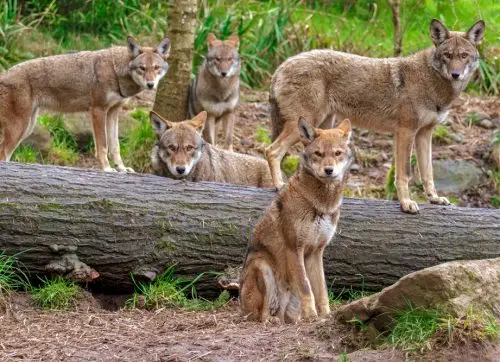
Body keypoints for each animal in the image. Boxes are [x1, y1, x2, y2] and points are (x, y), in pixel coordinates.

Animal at [0, 36, 170, 171]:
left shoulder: (113, 112)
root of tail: (4, 74)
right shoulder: (98, 110)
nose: (150, 84)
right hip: (19, 128)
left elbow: (115, 146)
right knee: (3, 154)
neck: (115, 70)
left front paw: (121, 169)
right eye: (142, 68)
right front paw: (107, 169)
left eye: (156, 68)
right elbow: (103, 146)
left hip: (27, 129)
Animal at [240, 117, 354, 324]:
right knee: (261, 316)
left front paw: (325, 315)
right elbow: (306, 287)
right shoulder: (294, 248)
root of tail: (240, 307)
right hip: (262, 266)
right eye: (318, 154)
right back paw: (271, 320)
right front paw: (312, 316)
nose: (329, 170)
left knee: (285, 316)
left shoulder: (316, 252)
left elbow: (321, 290)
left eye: (337, 153)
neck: (322, 205)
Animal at [266, 18, 484, 214]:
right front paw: (406, 203)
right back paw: (279, 185)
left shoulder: (424, 133)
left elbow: (428, 172)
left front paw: (435, 199)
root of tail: (281, 66)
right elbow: (404, 173)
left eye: (463, 56)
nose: (456, 74)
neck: (432, 83)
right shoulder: (405, 132)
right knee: (271, 150)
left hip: (322, 127)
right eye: (447, 55)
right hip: (304, 125)